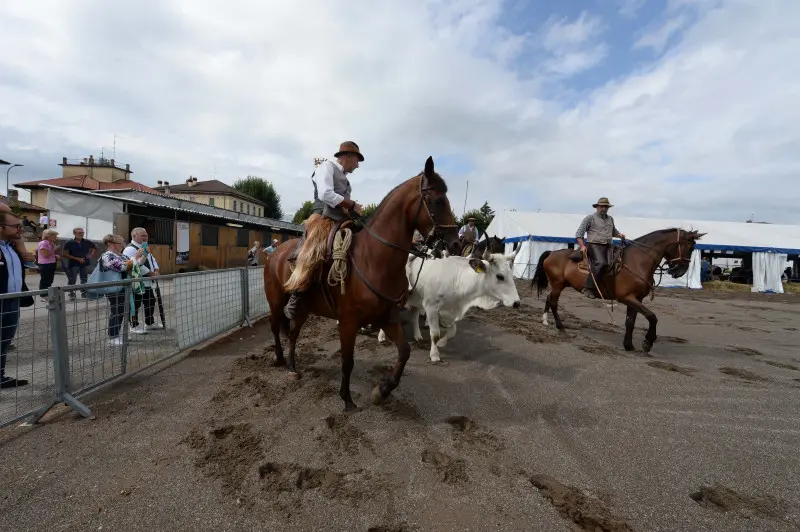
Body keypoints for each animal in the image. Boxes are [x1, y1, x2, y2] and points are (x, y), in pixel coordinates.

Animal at [264, 156, 460, 410]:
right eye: (437, 200)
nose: (455, 243)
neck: (373, 259)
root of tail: (274, 255)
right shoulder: (348, 322)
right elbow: (347, 361)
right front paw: (347, 398)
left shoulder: (386, 318)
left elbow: (404, 351)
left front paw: (382, 390)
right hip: (276, 302)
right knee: (276, 327)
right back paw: (279, 358)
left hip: (304, 309)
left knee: (293, 333)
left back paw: (292, 366)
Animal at [380, 248, 520, 362]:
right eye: (500, 276)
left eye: (511, 274)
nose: (517, 303)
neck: (457, 281)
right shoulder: (431, 307)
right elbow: (435, 334)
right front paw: (434, 355)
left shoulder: (450, 310)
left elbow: (453, 331)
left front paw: (442, 343)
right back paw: (382, 336)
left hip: (416, 301)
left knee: (414, 316)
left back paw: (418, 336)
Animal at [536, 227, 704, 352]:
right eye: (690, 247)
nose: (680, 272)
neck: (638, 261)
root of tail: (552, 253)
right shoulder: (627, 298)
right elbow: (652, 316)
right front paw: (648, 342)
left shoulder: (636, 299)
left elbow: (630, 321)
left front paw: (628, 345)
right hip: (557, 285)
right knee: (553, 302)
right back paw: (561, 327)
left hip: (559, 285)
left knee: (549, 299)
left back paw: (545, 320)